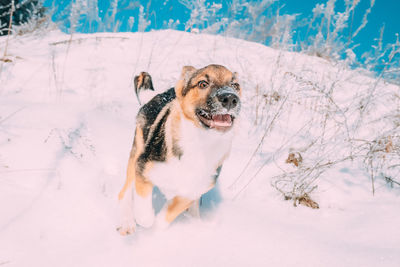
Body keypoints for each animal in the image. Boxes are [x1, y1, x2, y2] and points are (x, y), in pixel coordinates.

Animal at [115, 63, 241, 236]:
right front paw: (145, 221)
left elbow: (165, 217)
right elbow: (145, 215)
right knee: (125, 192)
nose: (230, 98)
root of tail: (158, 96)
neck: (200, 144)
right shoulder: (142, 168)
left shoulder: (190, 192)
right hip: (137, 151)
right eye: (203, 84)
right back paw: (127, 222)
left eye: (235, 85)